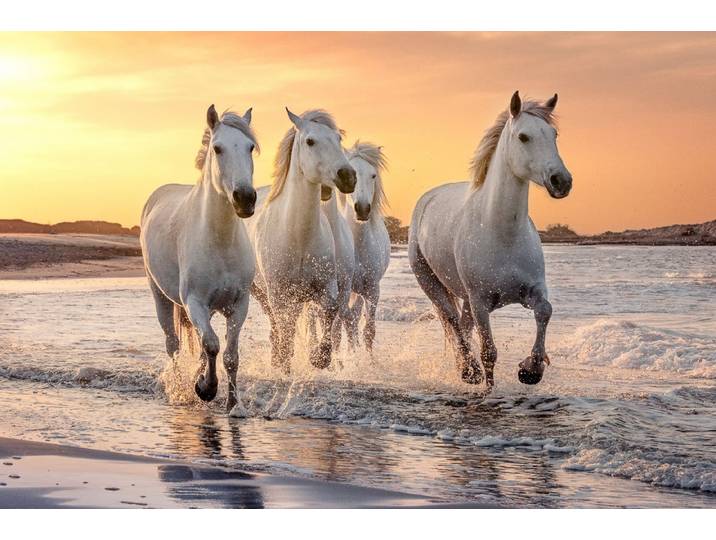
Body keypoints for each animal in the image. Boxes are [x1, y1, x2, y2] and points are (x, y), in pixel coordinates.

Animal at [140, 105, 258, 413]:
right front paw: (206, 389)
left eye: (250, 147)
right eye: (218, 148)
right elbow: (212, 344)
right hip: (161, 296)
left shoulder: (239, 304)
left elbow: (229, 354)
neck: (220, 241)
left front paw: (233, 405)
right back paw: (181, 388)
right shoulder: (194, 302)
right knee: (173, 344)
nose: (245, 198)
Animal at [247, 108, 356, 374]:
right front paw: (284, 364)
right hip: (261, 292)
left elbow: (330, 313)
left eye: (338, 138)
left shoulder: (327, 288)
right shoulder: (278, 294)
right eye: (310, 141)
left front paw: (319, 358)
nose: (348, 177)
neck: (299, 237)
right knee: (276, 326)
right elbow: (285, 331)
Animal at [408, 91, 572, 389]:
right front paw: (490, 387)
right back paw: (469, 371)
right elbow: (489, 352)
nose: (561, 181)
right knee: (453, 321)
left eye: (553, 134)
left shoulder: (532, 290)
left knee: (462, 325)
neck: (502, 233)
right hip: (432, 283)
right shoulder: (481, 301)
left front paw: (531, 369)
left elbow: (545, 311)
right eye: (523, 137)